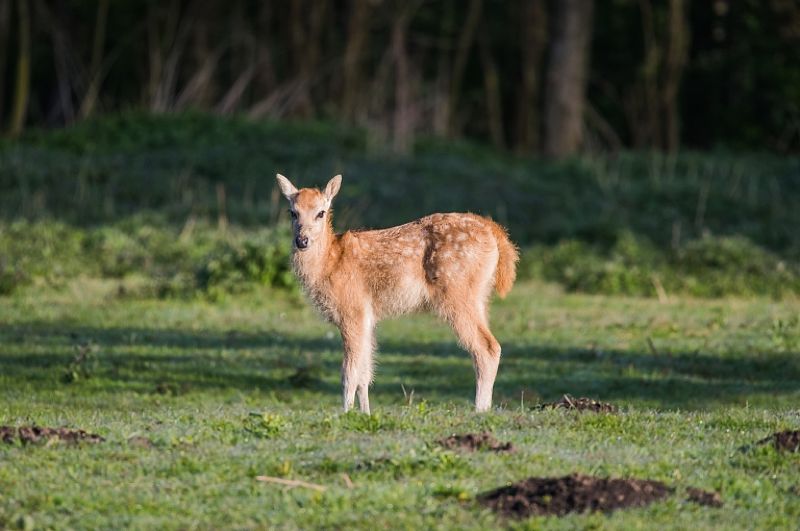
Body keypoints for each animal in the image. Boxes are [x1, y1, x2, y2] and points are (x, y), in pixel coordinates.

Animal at [276, 175, 520, 416]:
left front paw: (346, 414)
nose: (302, 240)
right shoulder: (368, 317)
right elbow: (365, 373)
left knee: (487, 348)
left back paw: (479, 410)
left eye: (321, 212)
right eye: (293, 212)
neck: (329, 263)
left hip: (457, 292)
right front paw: (365, 414)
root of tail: (494, 231)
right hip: (480, 296)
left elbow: (349, 372)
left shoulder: (352, 310)